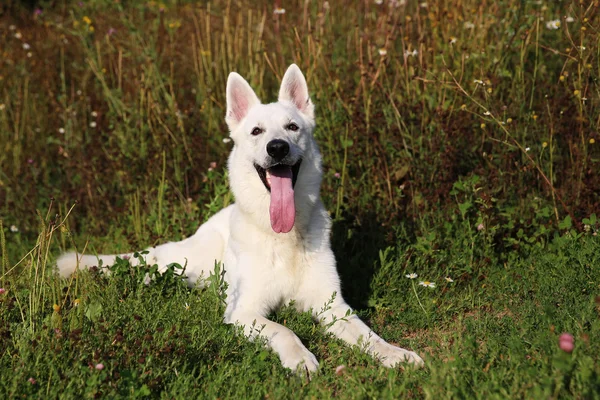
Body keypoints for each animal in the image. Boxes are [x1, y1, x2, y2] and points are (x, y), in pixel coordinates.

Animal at [55, 64, 422, 374]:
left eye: (292, 127)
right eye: (257, 131)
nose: (277, 147)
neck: (282, 237)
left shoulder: (333, 307)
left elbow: (368, 334)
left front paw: (395, 353)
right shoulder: (244, 312)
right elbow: (285, 330)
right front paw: (301, 358)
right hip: (183, 263)